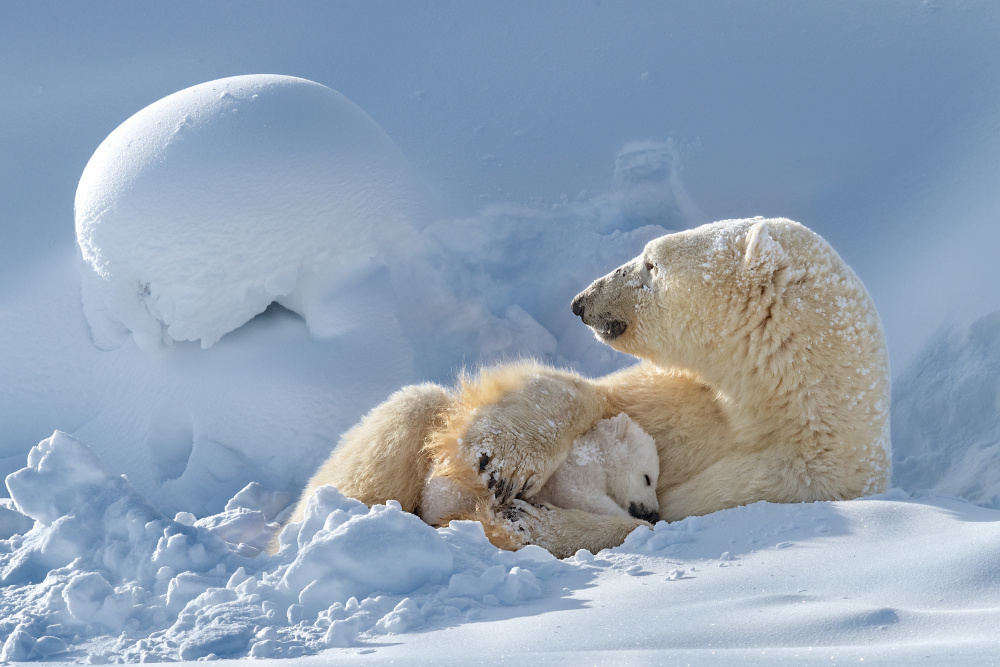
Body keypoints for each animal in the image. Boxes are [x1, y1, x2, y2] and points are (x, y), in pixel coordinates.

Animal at [298, 219, 892, 560]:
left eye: (650, 264)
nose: (581, 302)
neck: (780, 404)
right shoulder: (686, 398)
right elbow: (596, 397)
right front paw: (505, 460)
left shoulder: (797, 481)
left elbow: (653, 524)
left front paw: (527, 521)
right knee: (413, 407)